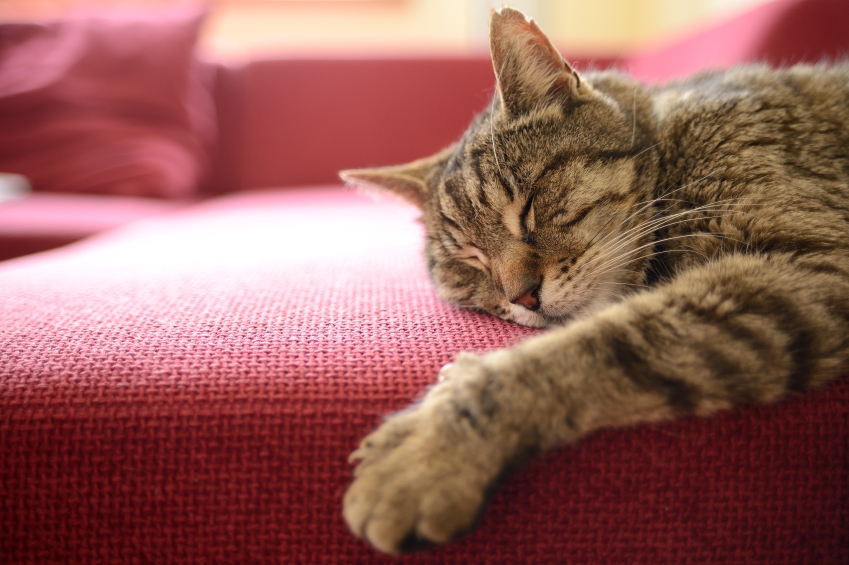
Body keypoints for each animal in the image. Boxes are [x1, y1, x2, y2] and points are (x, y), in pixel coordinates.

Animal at [338, 5, 848, 556]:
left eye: (529, 205)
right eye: (470, 262)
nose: (523, 296)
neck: (669, 137)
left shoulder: (803, 263)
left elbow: (595, 344)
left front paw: (430, 446)